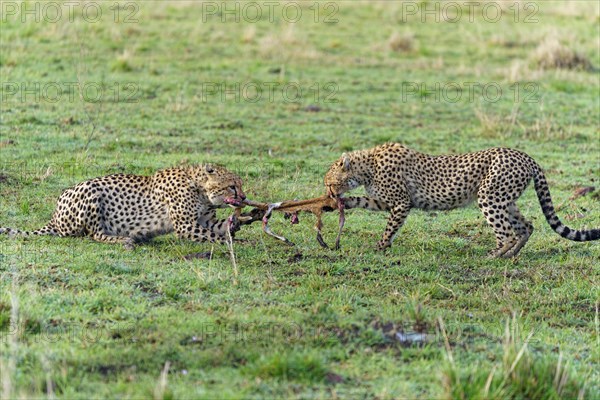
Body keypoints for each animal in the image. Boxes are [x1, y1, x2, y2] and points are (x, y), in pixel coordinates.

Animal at [0, 162, 258, 247]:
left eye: (239, 185)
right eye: (232, 186)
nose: (244, 197)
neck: (200, 190)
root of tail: (54, 217)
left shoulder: (204, 221)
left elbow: (222, 228)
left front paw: (248, 217)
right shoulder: (186, 227)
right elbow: (219, 238)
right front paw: (242, 243)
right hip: (90, 192)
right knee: (94, 234)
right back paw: (124, 239)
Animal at [326, 142, 596, 258]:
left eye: (329, 183)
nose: (329, 195)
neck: (367, 165)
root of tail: (526, 156)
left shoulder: (402, 203)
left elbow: (389, 228)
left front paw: (381, 246)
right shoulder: (388, 201)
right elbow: (364, 201)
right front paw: (345, 203)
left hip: (489, 197)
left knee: (507, 232)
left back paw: (494, 256)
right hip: (505, 200)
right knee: (527, 226)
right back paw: (511, 255)